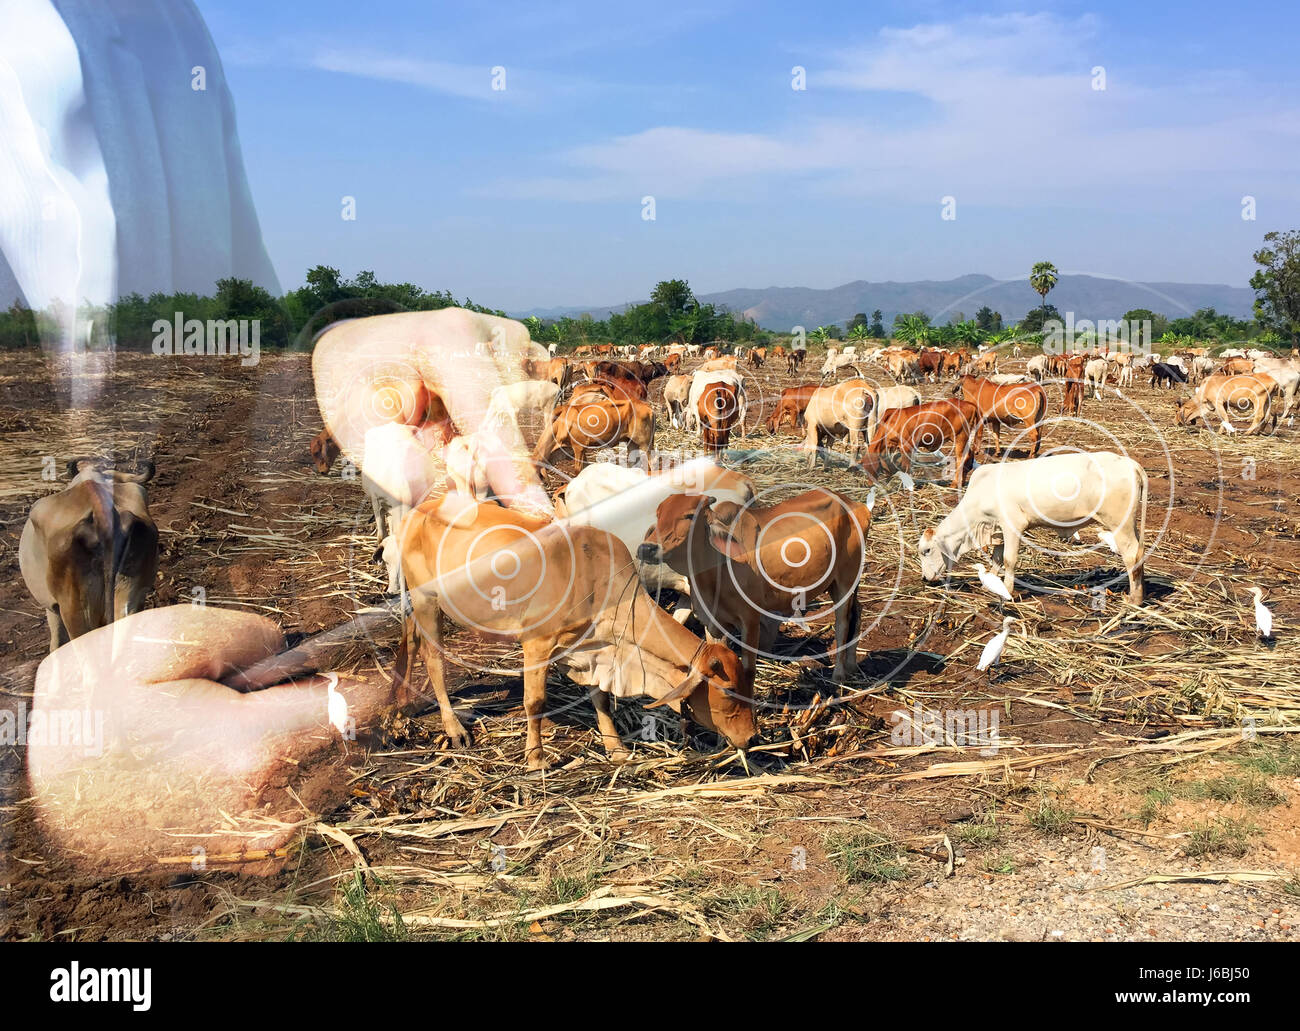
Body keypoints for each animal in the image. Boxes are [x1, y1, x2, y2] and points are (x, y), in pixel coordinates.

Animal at [390, 494, 759, 769]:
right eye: (727, 691)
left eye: (749, 686)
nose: (751, 737)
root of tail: (420, 510)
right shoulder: (537, 643)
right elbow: (534, 702)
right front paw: (536, 759)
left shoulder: (594, 648)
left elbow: (601, 698)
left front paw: (616, 749)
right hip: (427, 601)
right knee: (434, 661)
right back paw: (453, 727)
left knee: (410, 640)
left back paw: (400, 705)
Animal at [915, 452, 1149, 603]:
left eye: (927, 551)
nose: (925, 578)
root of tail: (1130, 464)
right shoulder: (999, 529)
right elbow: (997, 558)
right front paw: (990, 582)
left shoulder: (1013, 526)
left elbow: (1008, 560)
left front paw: (1007, 590)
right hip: (1130, 525)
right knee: (1140, 552)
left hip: (1119, 524)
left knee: (1131, 556)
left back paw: (1134, 599)